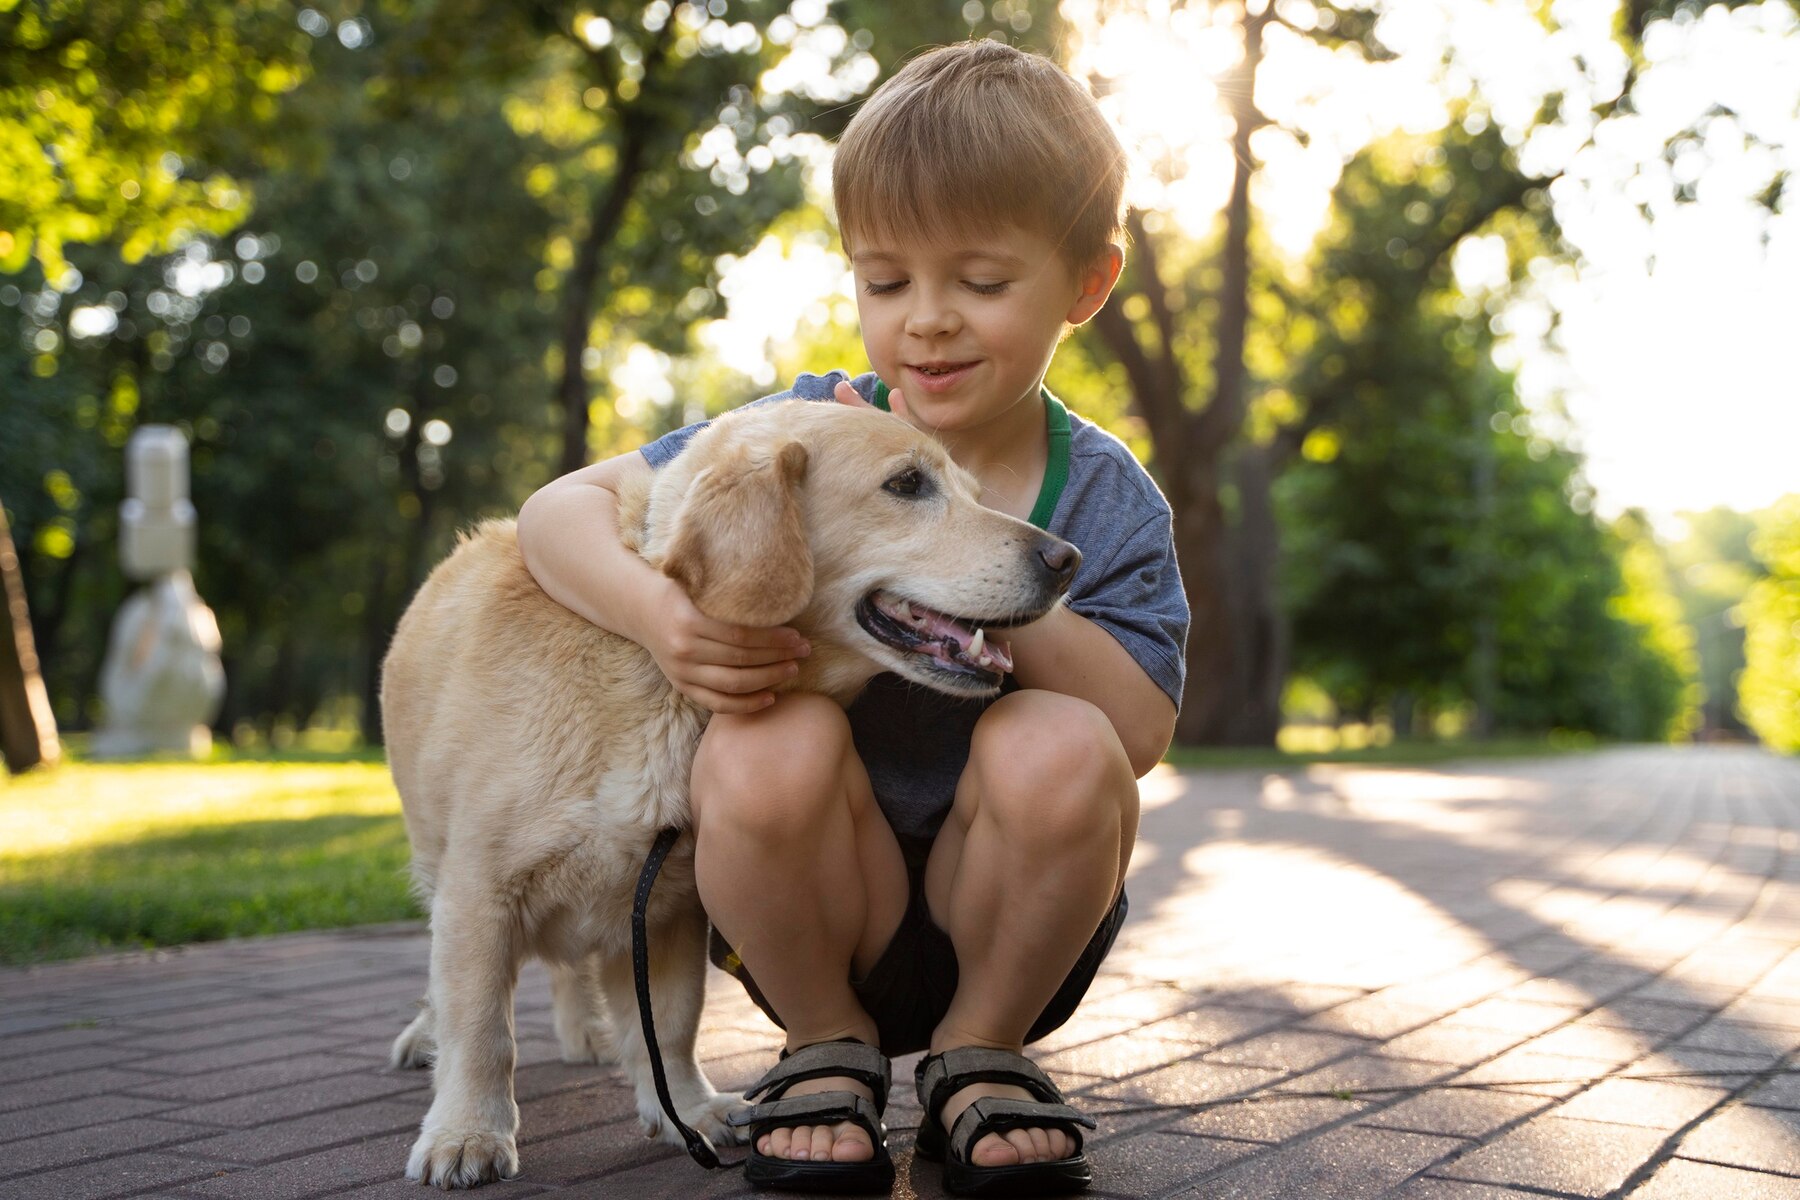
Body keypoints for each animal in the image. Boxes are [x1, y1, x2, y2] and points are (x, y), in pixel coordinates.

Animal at [379, 402, 1072, 1194]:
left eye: (973, 489)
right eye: (906, 484)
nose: (1068, 560)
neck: (662, 682)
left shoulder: (667, 904)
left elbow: (671, 1025)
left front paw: (684, 1108)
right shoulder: (479, 893)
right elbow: (481, 1030)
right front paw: (467, 1132)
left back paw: (586, 1030)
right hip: (436, 864)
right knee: (450, 992)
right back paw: (427, 1038)